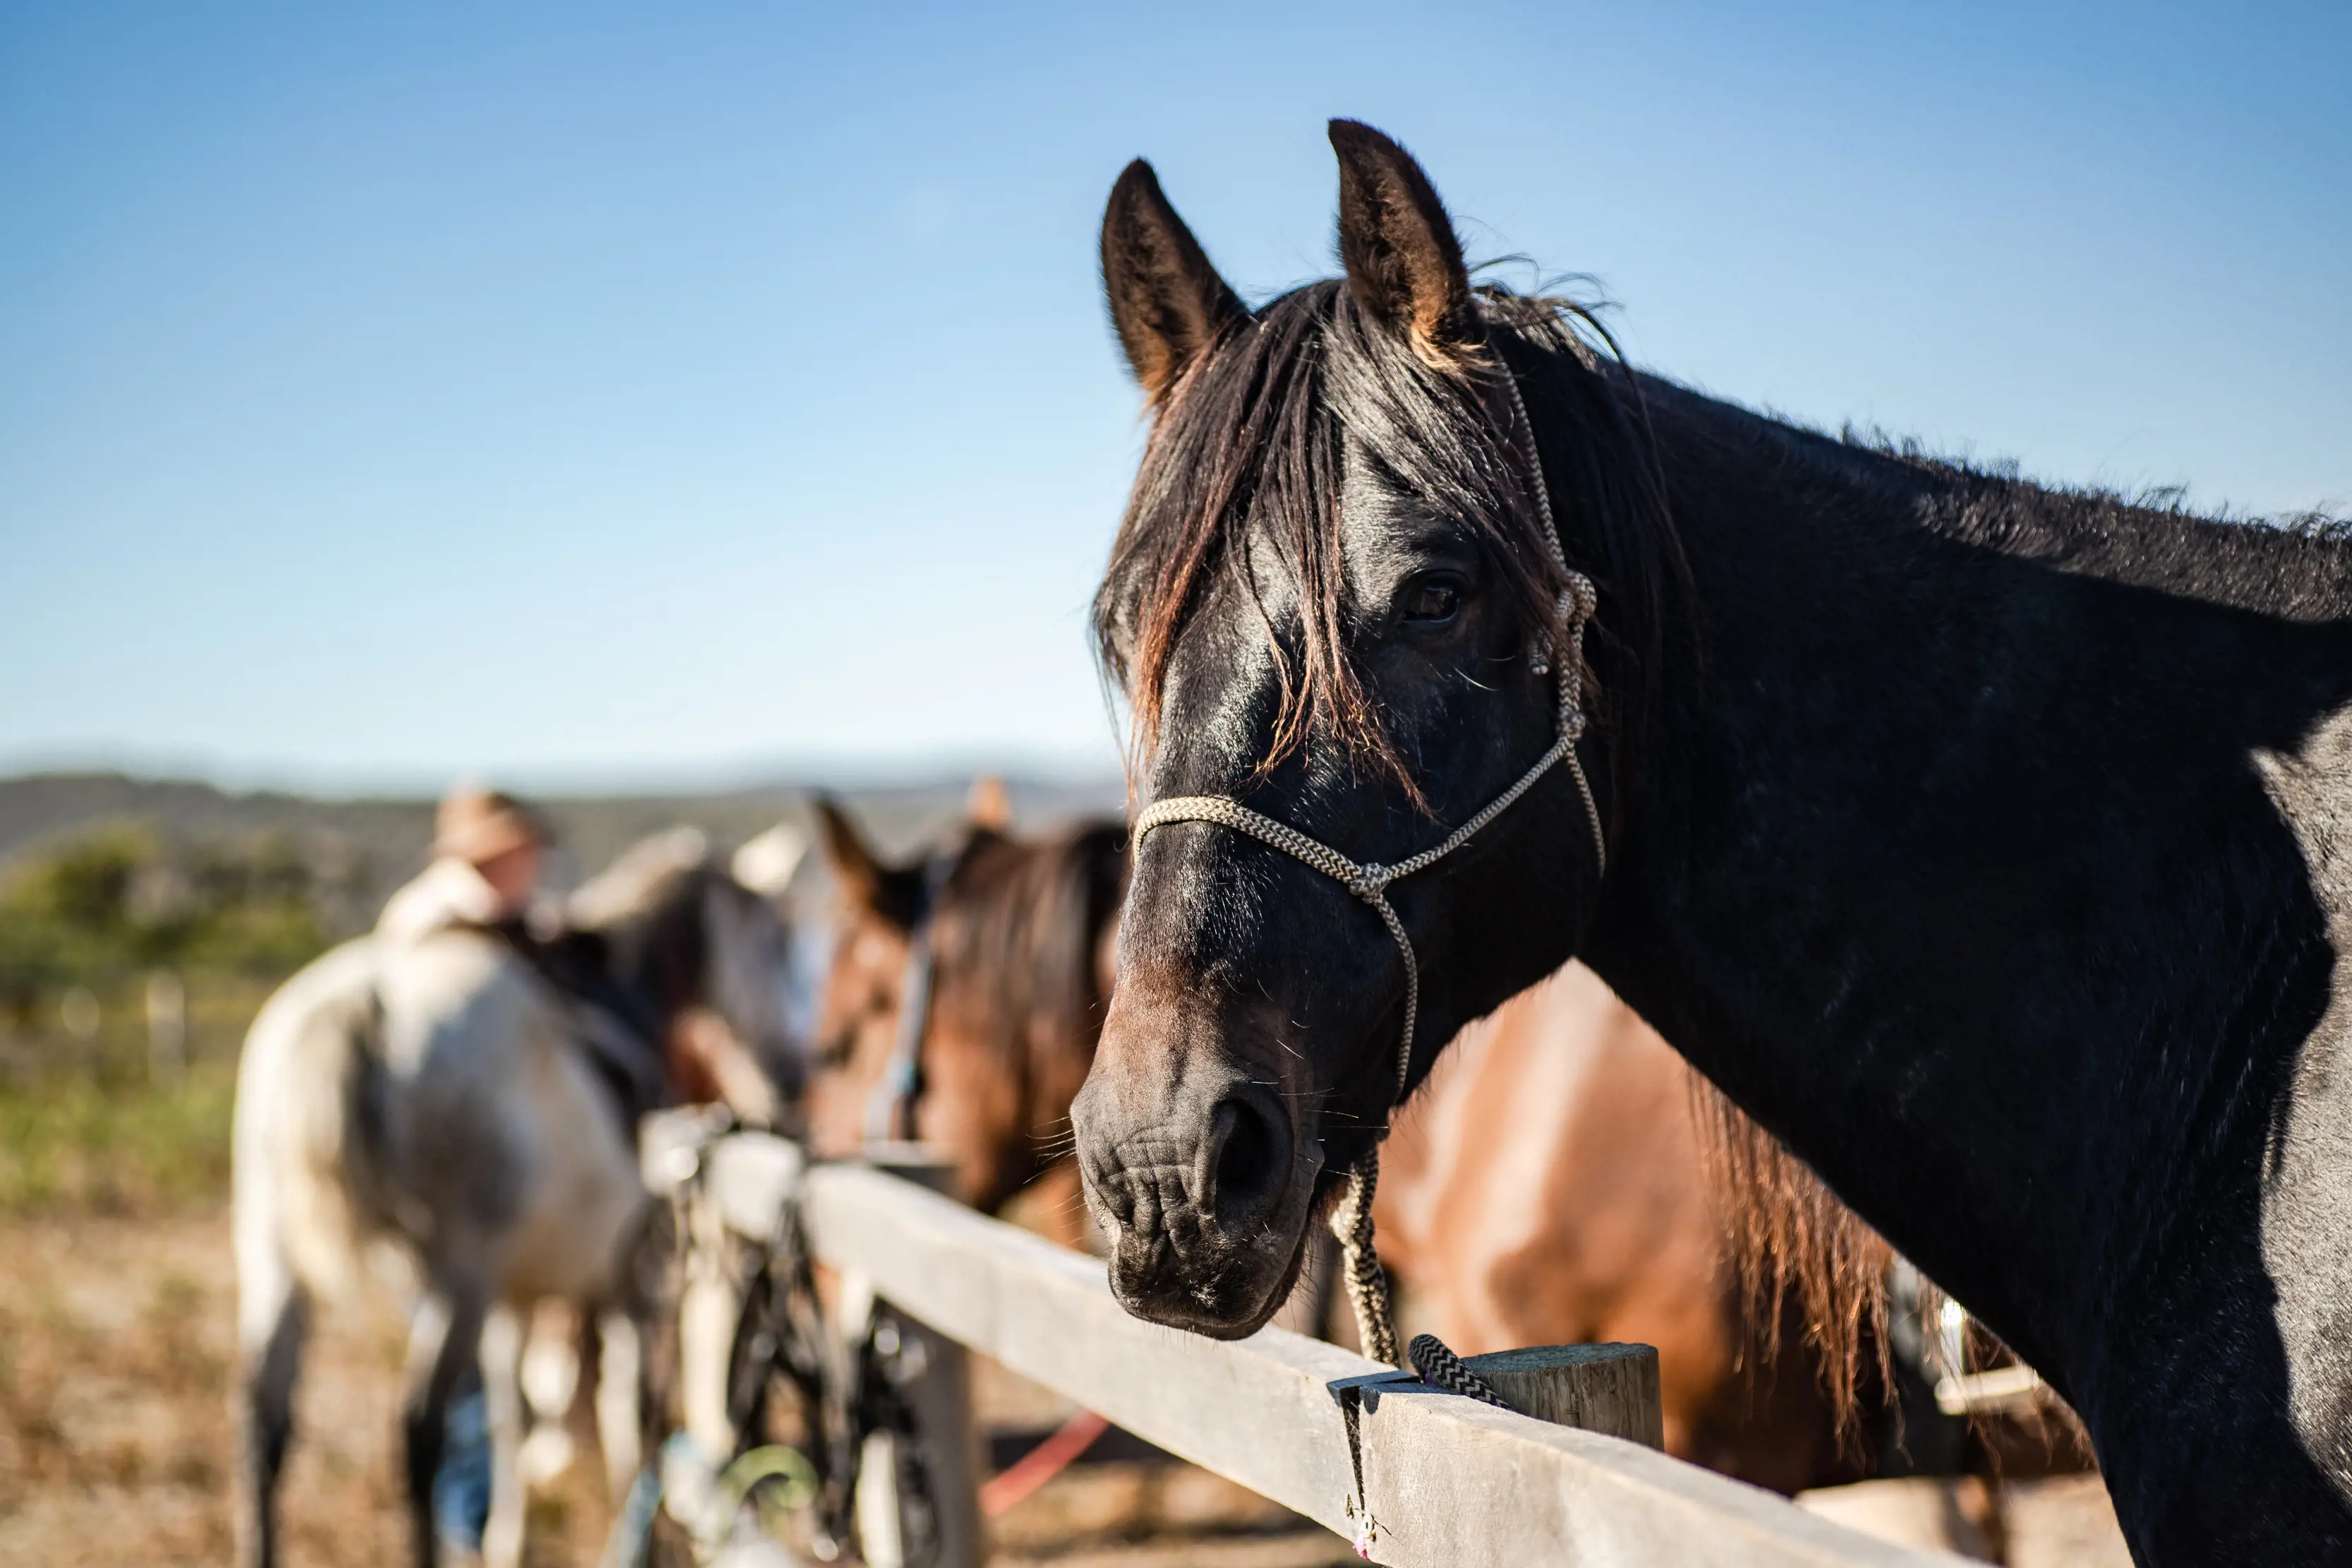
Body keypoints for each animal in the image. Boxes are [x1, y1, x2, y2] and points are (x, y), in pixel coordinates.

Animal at [232, 827, 799, 1561]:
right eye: (780, 940)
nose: (793, 1072)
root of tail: (363, 1004)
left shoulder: (518, 1299)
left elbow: (513, 1417)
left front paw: (509, 1541)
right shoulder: (631, 1283)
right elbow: (627, 1415)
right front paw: (634, 1541)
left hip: (271, 1248)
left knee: (264, 1423)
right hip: (459, 1274)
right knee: (419, 1429)